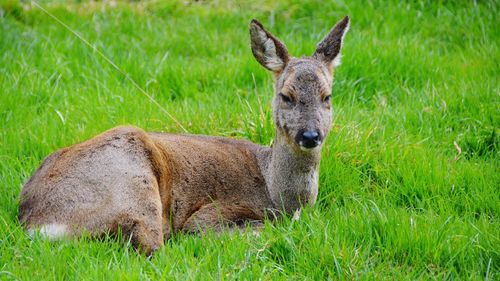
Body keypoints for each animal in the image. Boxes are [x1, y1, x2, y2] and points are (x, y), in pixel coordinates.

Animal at [18, 17, 348, 254]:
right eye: (286, 96)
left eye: (327, 96)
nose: (310, 135)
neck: (277, 191)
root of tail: (35, 222)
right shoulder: (212, 213)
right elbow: (252, 228)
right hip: (133, 185)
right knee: (153, 248)